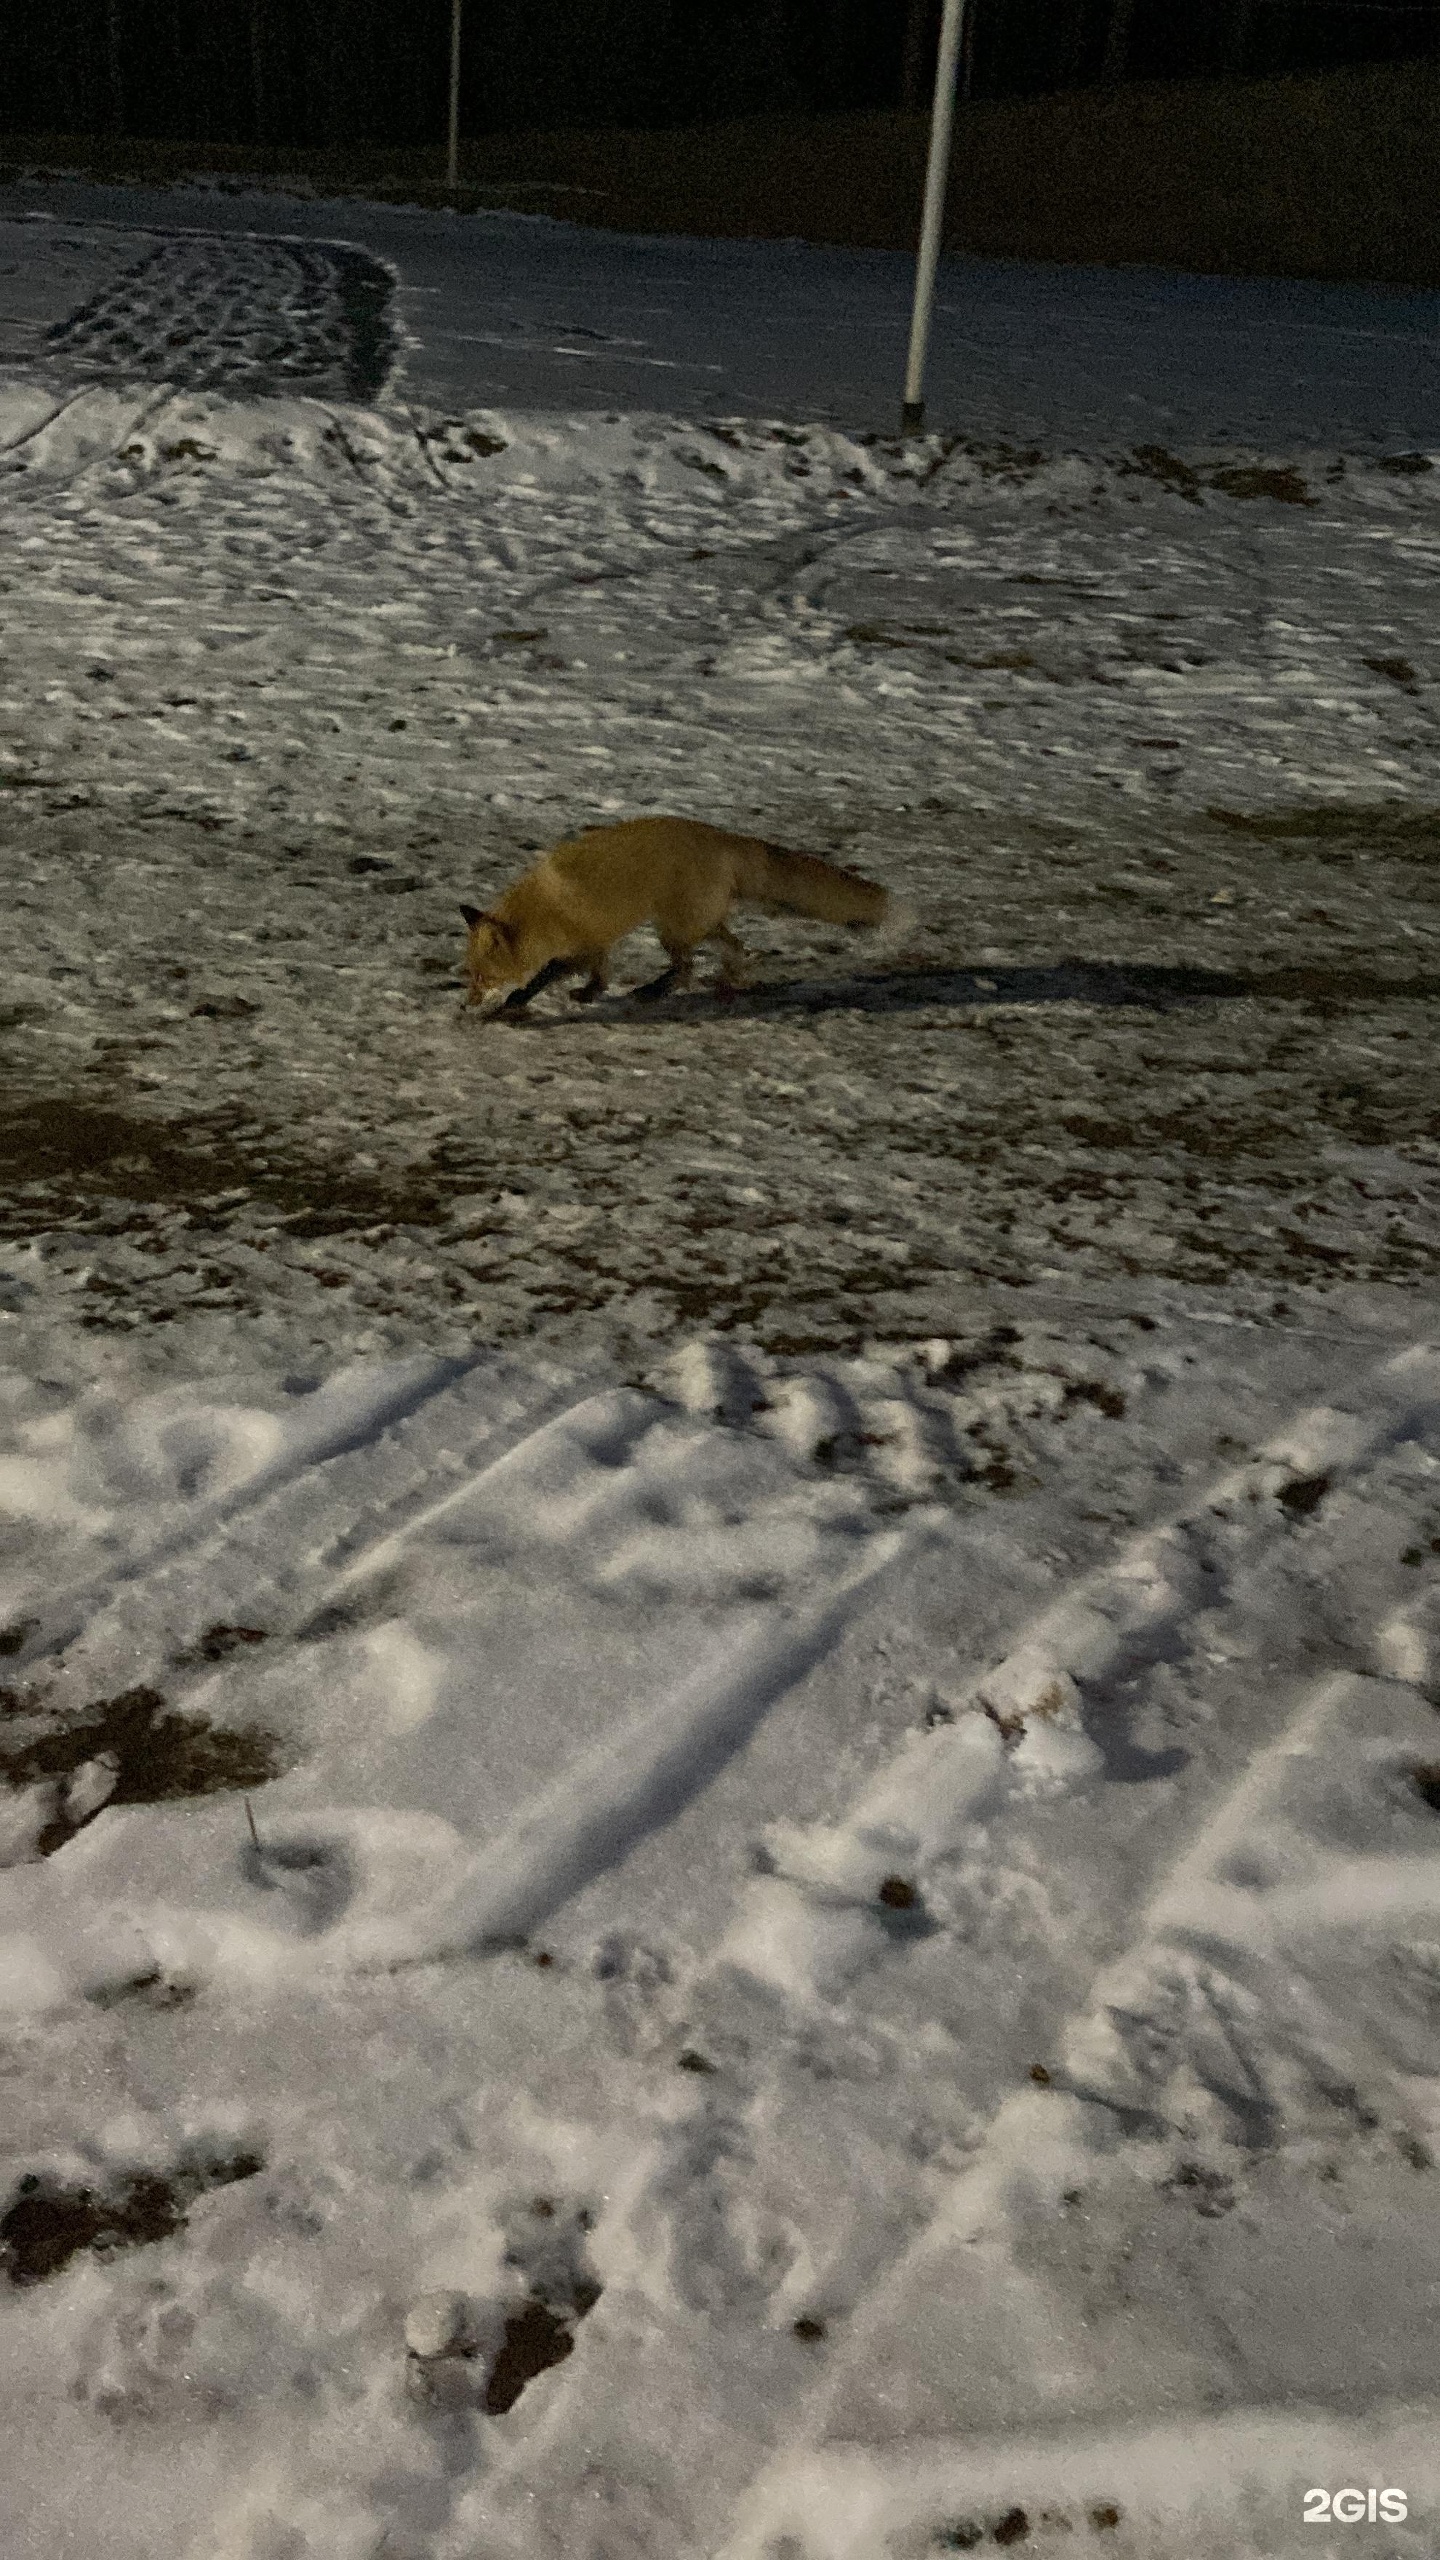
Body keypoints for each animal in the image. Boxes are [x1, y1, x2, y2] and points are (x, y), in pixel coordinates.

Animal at [458, 808, 907, 1008]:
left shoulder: (580, 944)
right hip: (698, 925)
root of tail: (722, 836)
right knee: (737, 948)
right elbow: (600, 975)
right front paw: (589, 993)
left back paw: (654, 991)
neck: (540, 912)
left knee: (688, 967)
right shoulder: (597, 940)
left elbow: (545, 976)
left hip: (672, 930)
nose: (467, 1004)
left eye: (481, 976)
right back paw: (727, 982)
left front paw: (516, 1003)